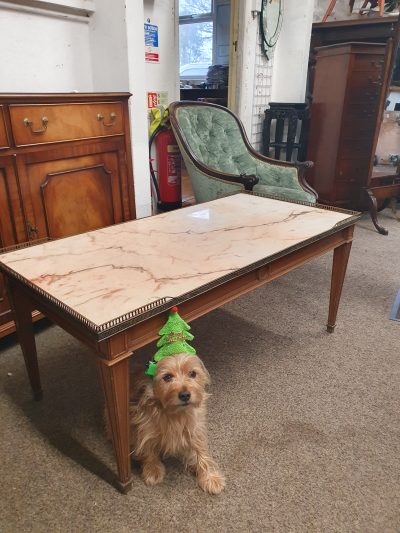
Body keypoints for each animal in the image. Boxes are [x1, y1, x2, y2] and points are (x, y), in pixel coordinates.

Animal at [123, 354, 225, 494]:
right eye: (167, 377)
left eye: (192, 373)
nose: (185, 395)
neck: (176, 414)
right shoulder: (145, 427)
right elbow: (148, 449)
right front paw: (152, 469)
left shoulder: (195, 428)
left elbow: (201, 451)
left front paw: (209, 476)